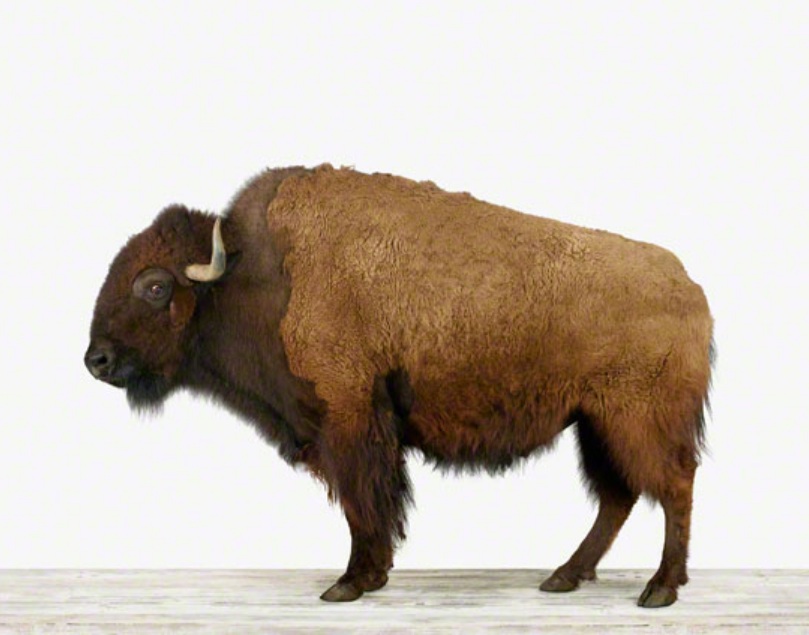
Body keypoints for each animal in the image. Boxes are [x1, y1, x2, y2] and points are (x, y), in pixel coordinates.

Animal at [85, 165, 713, 607]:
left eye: (155, 286)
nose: (97, 359)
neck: (259, 274)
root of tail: (689, 287)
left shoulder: (349, 419)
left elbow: (364, 500)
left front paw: (350, 582)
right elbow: (372, 501)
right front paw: (372, 575)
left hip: (633, 417)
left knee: (673, 484)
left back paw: (659, 589)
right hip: (594, 421)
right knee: (619, 496)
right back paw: (565, 576)